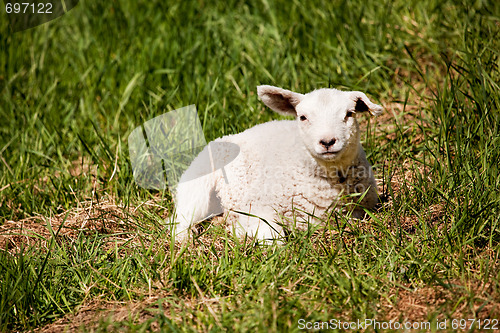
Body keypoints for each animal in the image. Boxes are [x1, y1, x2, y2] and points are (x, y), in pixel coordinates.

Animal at [172, 85, 382, 241]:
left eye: (349, 114)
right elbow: (274, 238)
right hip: (197, 186)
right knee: (179, 222)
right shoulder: (256, 207)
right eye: (303, 117)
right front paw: (241, 231)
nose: (327, 142)